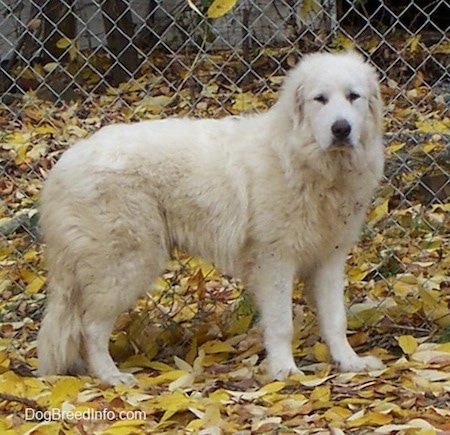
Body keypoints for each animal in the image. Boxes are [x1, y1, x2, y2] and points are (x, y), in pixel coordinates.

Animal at [37, 51, 384, 384]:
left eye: (353, 96)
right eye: (320, 99)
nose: (341, 129)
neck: (305, 162)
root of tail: (63, 164)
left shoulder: (328, 260)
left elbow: (336, 320)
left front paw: (350, 362)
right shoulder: (274, 262)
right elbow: (282, 325)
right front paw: (285, 370)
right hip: (127, 265)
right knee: (91, 328)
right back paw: (110, 376)